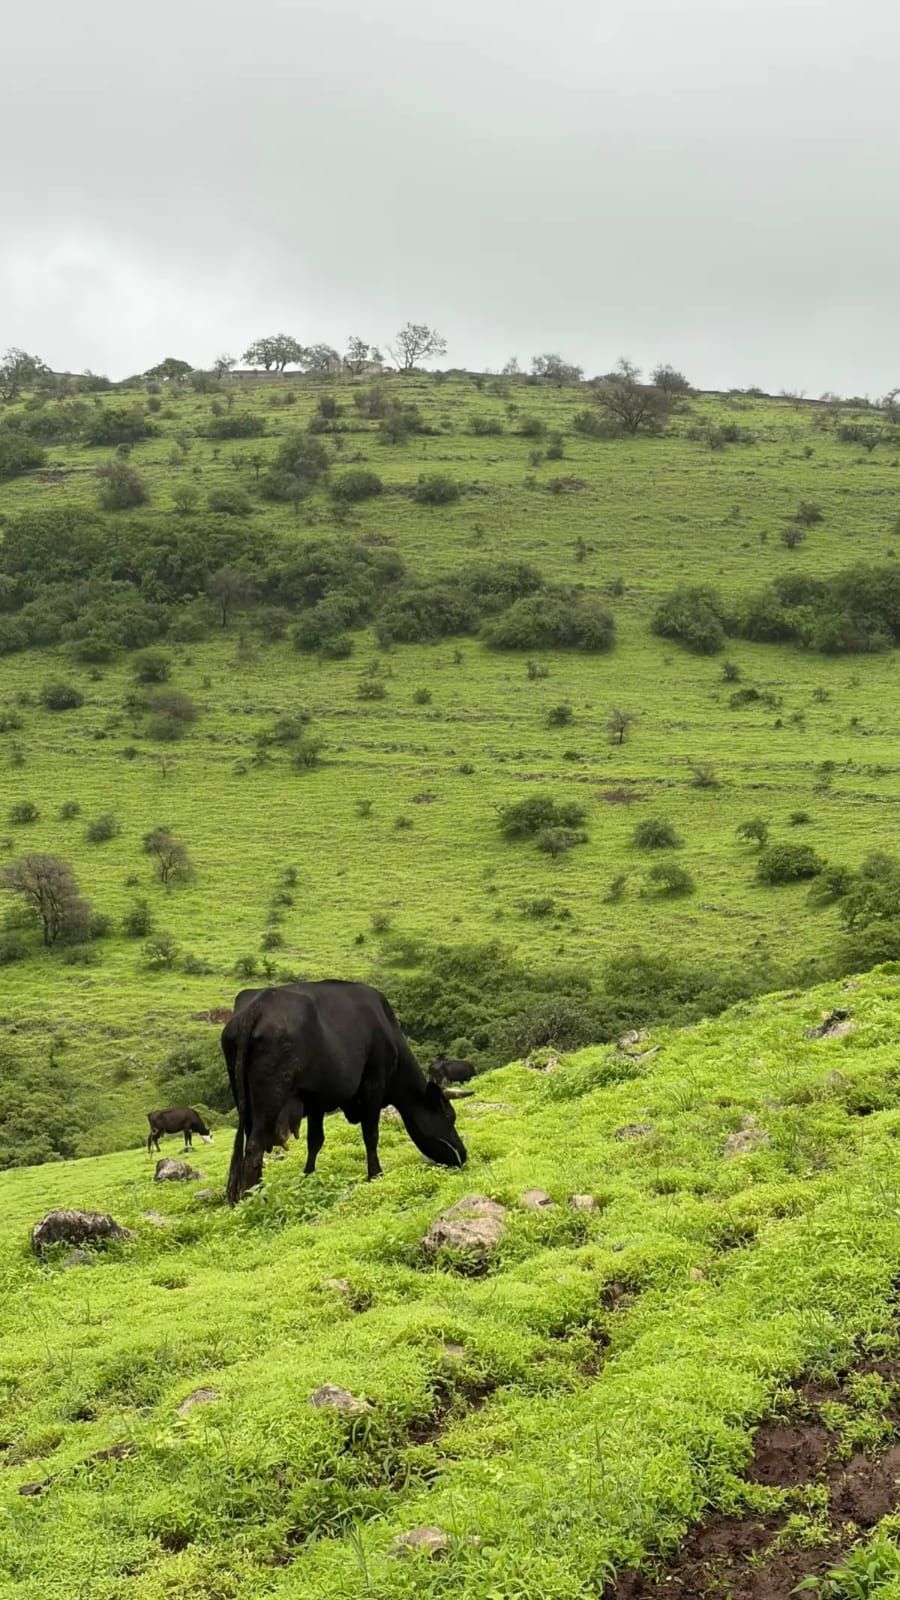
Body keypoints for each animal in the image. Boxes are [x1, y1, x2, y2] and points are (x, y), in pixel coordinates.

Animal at [221, 980, 467, 1205]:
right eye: (448, 1117)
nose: (462, 1155)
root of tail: (257, 1007)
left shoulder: (316, 1099)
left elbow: (315, 1140)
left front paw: (308, 1178)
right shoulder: (373, 1084)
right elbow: (371, 1134)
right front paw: (375, 1174)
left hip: (245, 1103)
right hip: (270, 1101)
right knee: (254, 1149)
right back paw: (255, 1198)